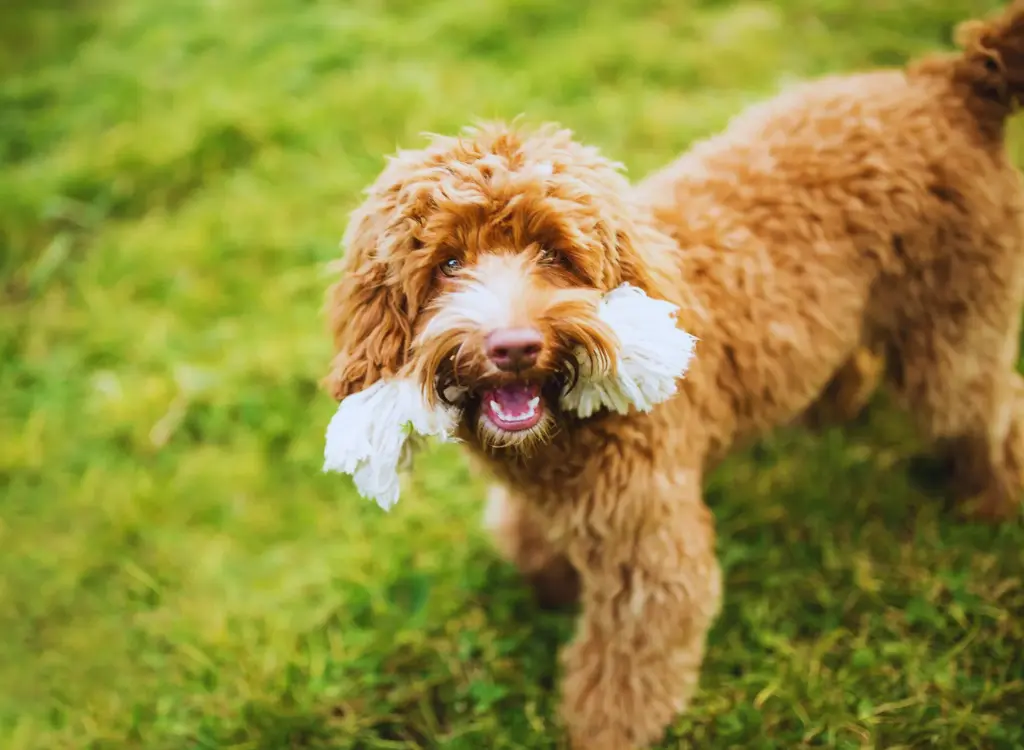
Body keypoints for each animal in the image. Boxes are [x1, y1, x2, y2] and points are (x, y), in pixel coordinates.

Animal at [323, 2, 1024, 745]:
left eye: (554, 253)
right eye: (448, 264)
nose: (513, 346)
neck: (561, 430)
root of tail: (953, 83)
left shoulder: (648, 543)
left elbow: (628, 666)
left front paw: (600, 731)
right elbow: (528, 543)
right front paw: (550, 580)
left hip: (954, 326)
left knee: (990, 406)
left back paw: (991, 502)